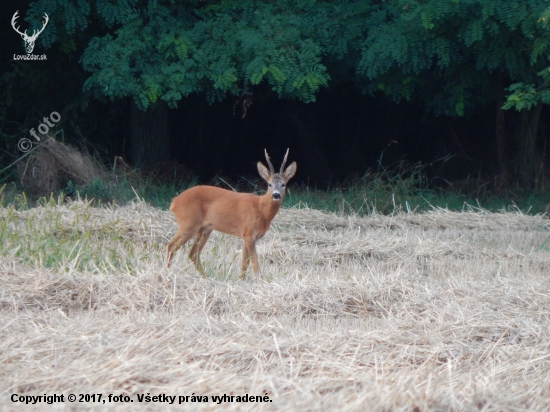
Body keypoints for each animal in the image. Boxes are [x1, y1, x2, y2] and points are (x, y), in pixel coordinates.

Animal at [168, 150, 298, 278]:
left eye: (283, 184)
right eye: (269, 184)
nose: (276, 195)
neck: (261, 210)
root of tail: (174, 202)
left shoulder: (246, 235)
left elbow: (244, 264)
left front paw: (241, 280)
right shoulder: (249, 233)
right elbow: (255, 264)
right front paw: (259, 280)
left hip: (205, 229)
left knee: (193, 253)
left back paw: (206, 277)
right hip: (188, 224)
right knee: (171, 247)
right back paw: (167, 273)